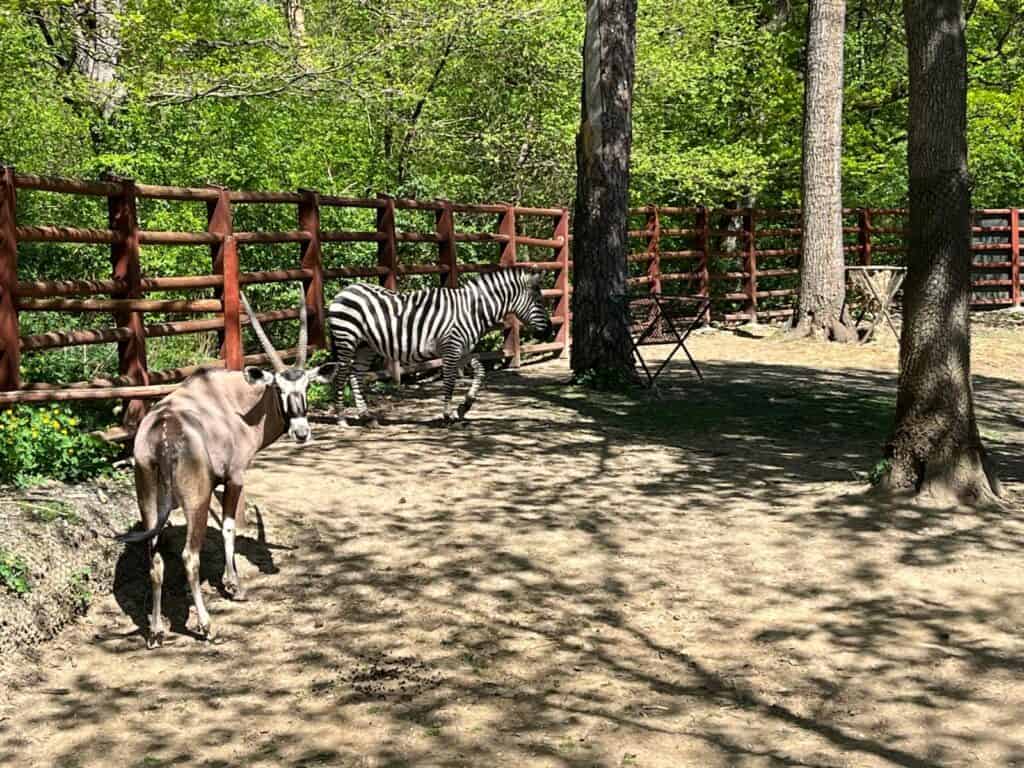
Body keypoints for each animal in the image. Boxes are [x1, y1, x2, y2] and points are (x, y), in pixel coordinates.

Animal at [325, 268, 552, 428]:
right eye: (538, 301)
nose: (549, 332)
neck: (472, 310)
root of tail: (346, 289)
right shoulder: (451, 349)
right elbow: (449, 382)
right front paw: (447, 415)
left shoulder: (462, 350)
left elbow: (480, 371)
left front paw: (464, 407)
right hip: (346, 339)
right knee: (342, 376)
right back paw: (341, 418)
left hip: (366, 346)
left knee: (356, 376)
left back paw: (366, 417)